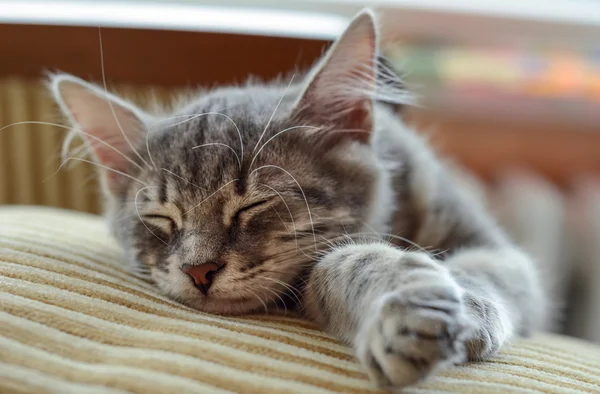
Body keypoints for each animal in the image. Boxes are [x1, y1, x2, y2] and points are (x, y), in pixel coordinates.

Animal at [51, 10, 548, 390]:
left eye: (252, 205)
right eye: (161, 217)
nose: (198, 271)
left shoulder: (498, 251)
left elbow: (479, 272)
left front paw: (464, 307)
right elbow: (348, 263)